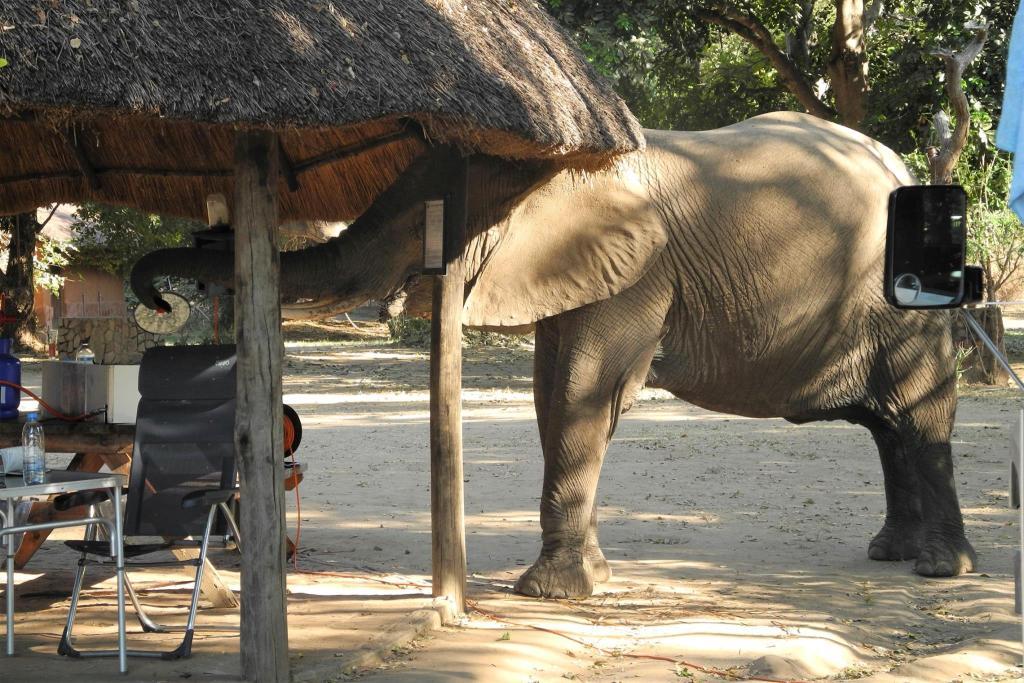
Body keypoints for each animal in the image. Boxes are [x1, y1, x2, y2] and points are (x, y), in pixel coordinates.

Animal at [132, 112, 978, 598]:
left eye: (424, 223)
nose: (162, 298)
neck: (556, 161)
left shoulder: (636, 268)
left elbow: (582, 392)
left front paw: (552, 594)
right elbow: (552, 393)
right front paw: (587, 579)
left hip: (911, 304)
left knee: (919, 417)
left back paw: (940, 569)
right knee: (888, 427)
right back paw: (891, 555)